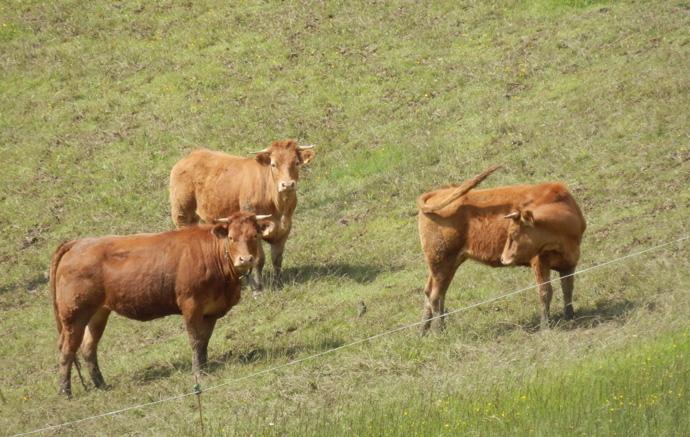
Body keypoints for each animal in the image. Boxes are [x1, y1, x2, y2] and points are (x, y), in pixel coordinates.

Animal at [49, 210, 270, 396]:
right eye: (231, 237)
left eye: (255, 236)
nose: (245, 259)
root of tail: (78, 242)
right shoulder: (191, 305)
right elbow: (195, 340)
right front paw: (197, 373)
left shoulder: (210, 311)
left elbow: (204, 341)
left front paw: (205, 369)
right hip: (74, 315)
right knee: (67, 350)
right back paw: (65, 392)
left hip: (98, 313)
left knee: (88, 348)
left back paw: (101, 385)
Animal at [169, 140, 314, 294]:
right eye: (274, 164)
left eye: (296, 163)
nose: (287, 184)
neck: (278, 205)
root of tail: (189, 157)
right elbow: (258, 260)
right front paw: (258, 286)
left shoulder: (284, 229)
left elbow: (277, 258)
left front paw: (278, 282)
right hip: (182, 214)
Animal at [416, 165, 584, 332]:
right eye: (510, 233)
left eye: (514, 233)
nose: (503, 258)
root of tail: (438, 193)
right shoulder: (540, 262)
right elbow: (545, 292)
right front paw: (545, 327)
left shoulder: (569, 263)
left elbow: (568, 288)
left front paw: (570, 317)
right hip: (441, 261)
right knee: (436, 295)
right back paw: (438, 330)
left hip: (446, 263)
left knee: (431, 292)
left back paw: (423, 331)